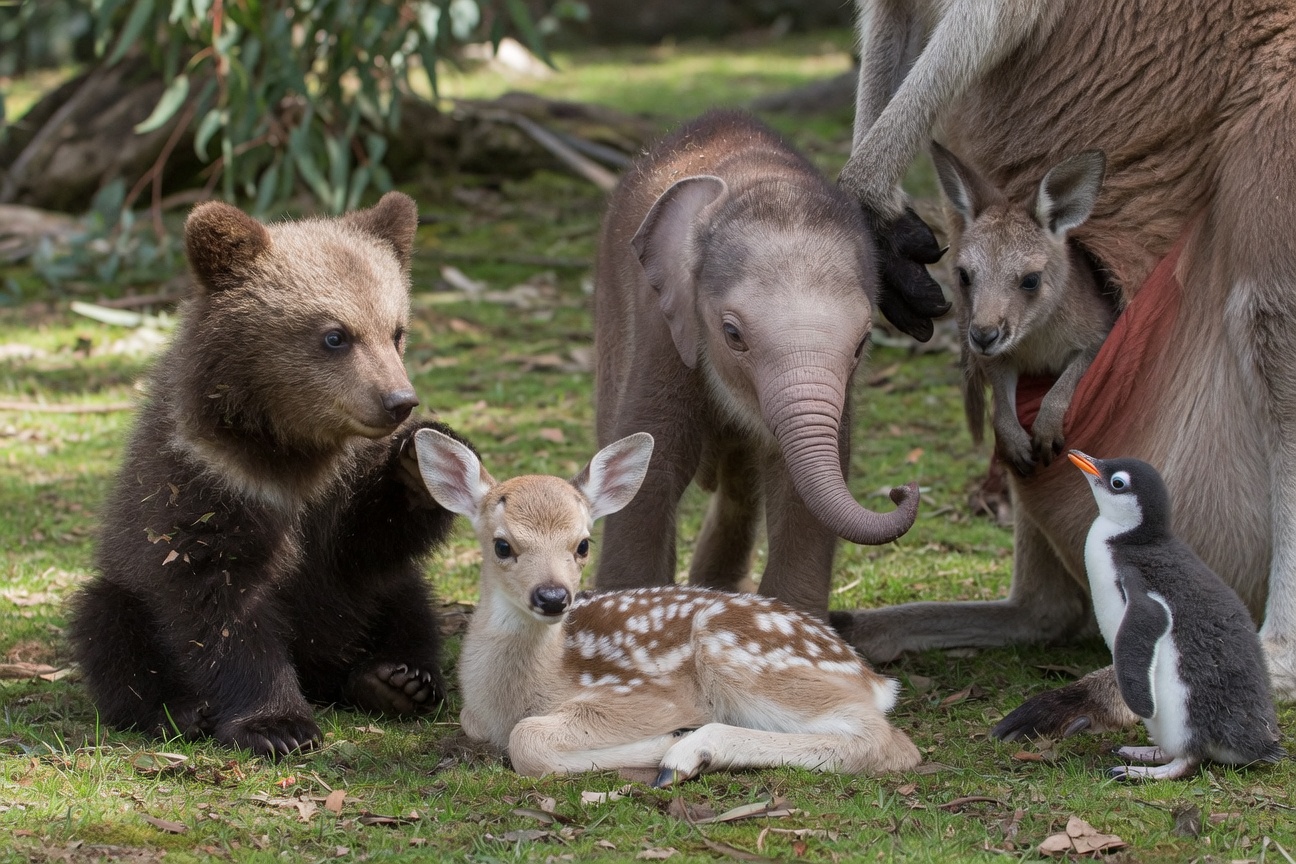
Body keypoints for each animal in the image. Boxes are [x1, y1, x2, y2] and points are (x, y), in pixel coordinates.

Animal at [67, 192, 469, 757]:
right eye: (335, 335)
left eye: (396, 331)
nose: (398, 401)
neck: (287, 448)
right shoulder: (207, 485)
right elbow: (222, 609)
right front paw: (278, 725)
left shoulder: (339, 495)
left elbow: (368, 543)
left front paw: (416, 461)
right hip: (127, 588)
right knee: (107, 626)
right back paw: (178, 710)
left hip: (374, 608)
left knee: (409, 602)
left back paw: (397, 680)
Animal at [412, 428, 921, 783]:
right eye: (502, 545)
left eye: (583, 544)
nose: (554, 596)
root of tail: (871, 677)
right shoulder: (476, 717)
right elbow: (479, 724)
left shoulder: (646, 696)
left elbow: (528, 738)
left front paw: (666, 739)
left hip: (740, 655)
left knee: (890, 742)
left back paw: (686, 754)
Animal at [930, 142, 1116, 477]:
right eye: (963, 275)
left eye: (1031, 280)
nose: (983, 336)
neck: (1034, 336)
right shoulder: (994, 354)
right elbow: (1002, 405)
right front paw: (1015, 444)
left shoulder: (1100, 332)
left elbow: (1069, 378)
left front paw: (1046, 430)